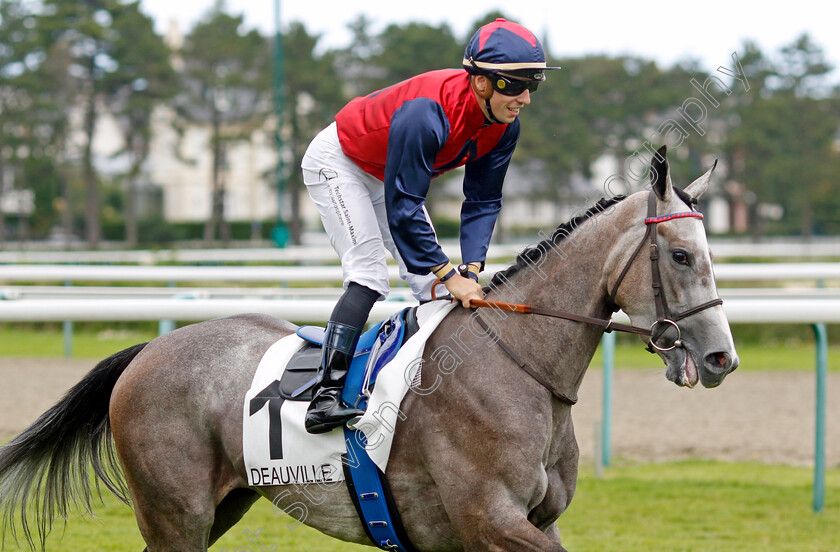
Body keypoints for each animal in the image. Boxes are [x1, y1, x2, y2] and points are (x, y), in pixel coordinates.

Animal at [0, 148, 736, 552]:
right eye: (680, 255)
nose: (722, 358)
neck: (516, 363)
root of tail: (148, 351)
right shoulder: (489, 520)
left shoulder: (532, 521)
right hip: (173, 512)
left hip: (221, 504)